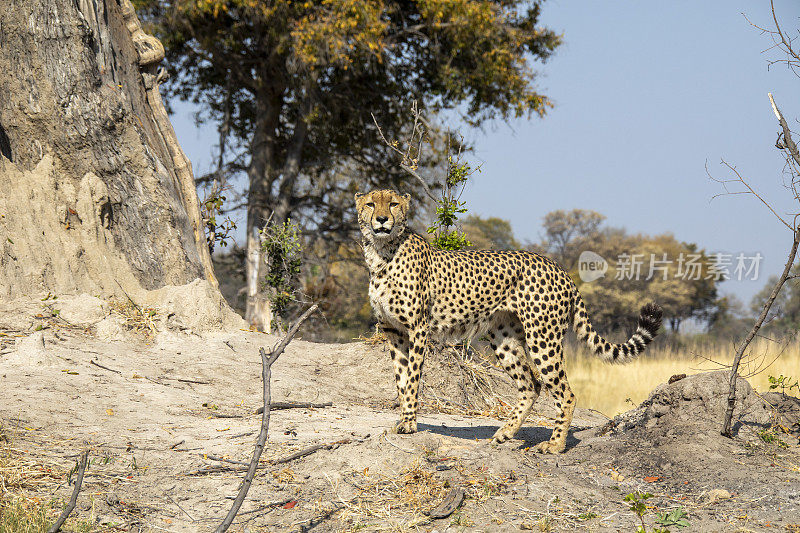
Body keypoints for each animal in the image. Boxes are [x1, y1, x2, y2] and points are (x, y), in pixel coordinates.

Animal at [358, 189, 664, 450]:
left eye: (393, 204)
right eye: (371, 204)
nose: (382, 219)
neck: (382, 252)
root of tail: (559, 267)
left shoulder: (417, 329)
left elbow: (411, 378)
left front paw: (409, 424)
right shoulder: (393, 332)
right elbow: (400, 379)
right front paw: (403, 420)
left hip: (543, 337)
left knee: (565, 392)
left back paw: (554, 445)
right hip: (504, 338)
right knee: (532, 384)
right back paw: (506, 433)